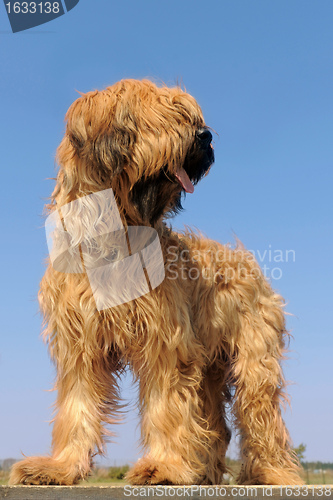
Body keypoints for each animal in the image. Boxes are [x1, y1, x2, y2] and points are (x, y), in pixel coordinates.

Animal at [9, 80, 300, 486]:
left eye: (190, 117)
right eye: (171, 117)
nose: (206, 137)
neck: (112, 234)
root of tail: (249, 261)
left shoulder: (166, 338)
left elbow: (167, 404)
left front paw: (163, 466)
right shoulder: (79, 343)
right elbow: (76, 407)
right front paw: (60, 467)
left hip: (253, 358)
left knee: (260, 414)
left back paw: (273, 473)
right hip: (208, 363)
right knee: (216, 425)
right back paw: (204, 473)